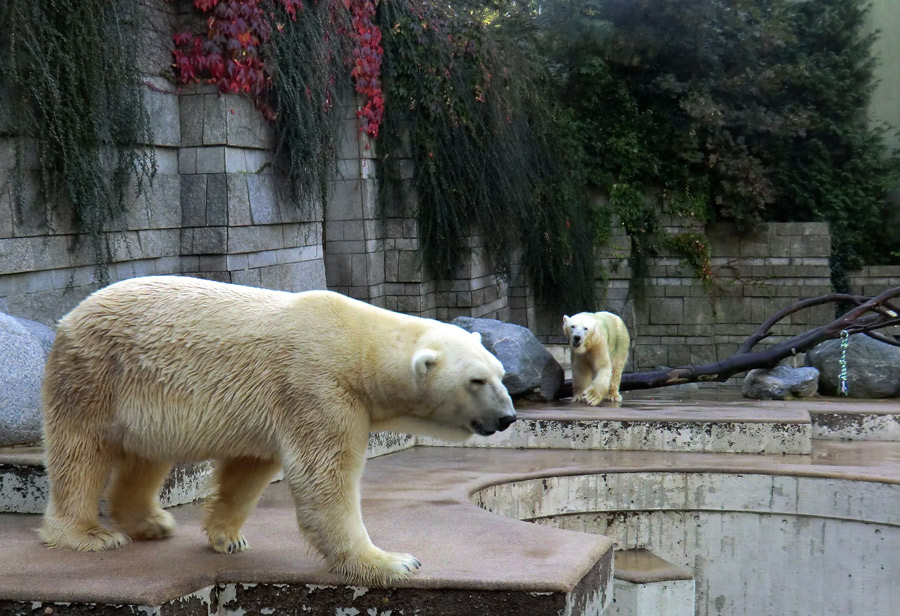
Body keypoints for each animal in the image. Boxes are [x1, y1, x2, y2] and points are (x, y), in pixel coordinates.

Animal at [40, 276, 512, 584]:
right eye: (476, 381)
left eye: (501, 373)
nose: (507, 416)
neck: (358, 344)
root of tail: (70, 315)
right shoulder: (319, 387)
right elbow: (325, 480)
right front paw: (392, 562)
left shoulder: (276, 405)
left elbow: (249, 468)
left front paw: (228, 537)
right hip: (98, 373)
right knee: (81, 451)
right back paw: (90, 534)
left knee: (147, 455)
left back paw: (152, 522)